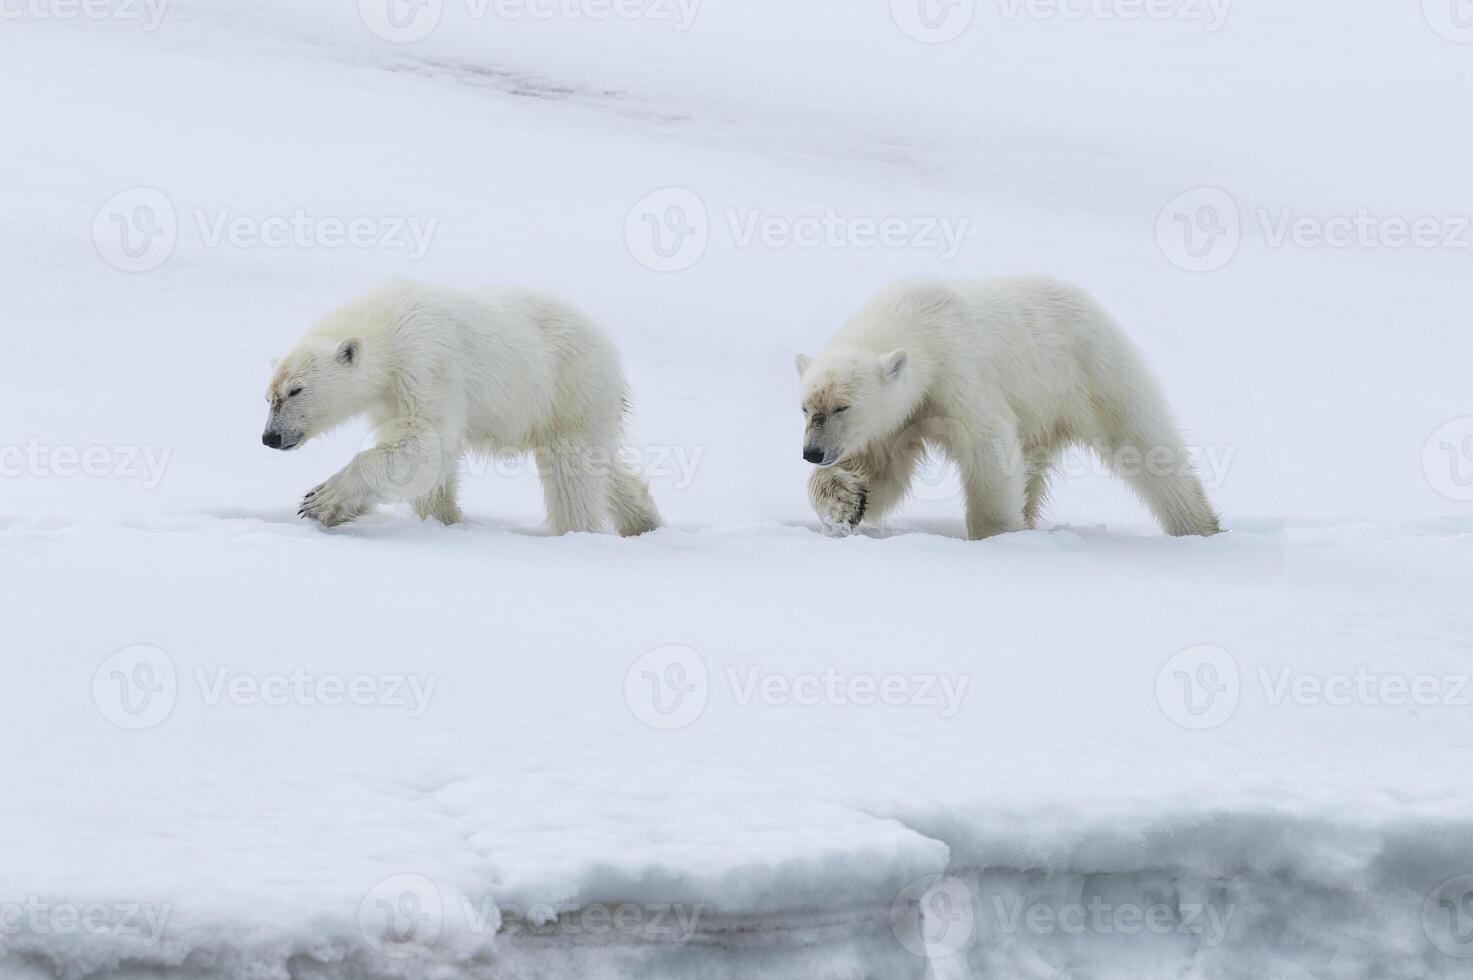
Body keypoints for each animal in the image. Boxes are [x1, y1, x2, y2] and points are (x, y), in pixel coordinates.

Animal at [263, 278, 662, 536]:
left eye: (295, 390)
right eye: (268, 397)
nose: (270, 437)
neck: (387, 322)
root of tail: (606, 343)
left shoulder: (425, 363)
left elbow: (427, 442)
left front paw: (318, 501)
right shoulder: (390, 395)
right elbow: (422, 460)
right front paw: (445, 521)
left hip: (568, 386)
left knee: (572, 470)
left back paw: (574, 532)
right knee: (601, 463)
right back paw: (643, 521)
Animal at [801, 275, 1225, 539]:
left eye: (842, 407)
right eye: (806, 407)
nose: (812, 452)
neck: (917, 324)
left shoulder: (958, 371)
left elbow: (987, 444)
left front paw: (996, 537)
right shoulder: (899, 416)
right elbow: (882, 472)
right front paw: (846, 503)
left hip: (1092, 370)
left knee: (1145, 445)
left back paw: (1199, 526)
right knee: (1032, 469)